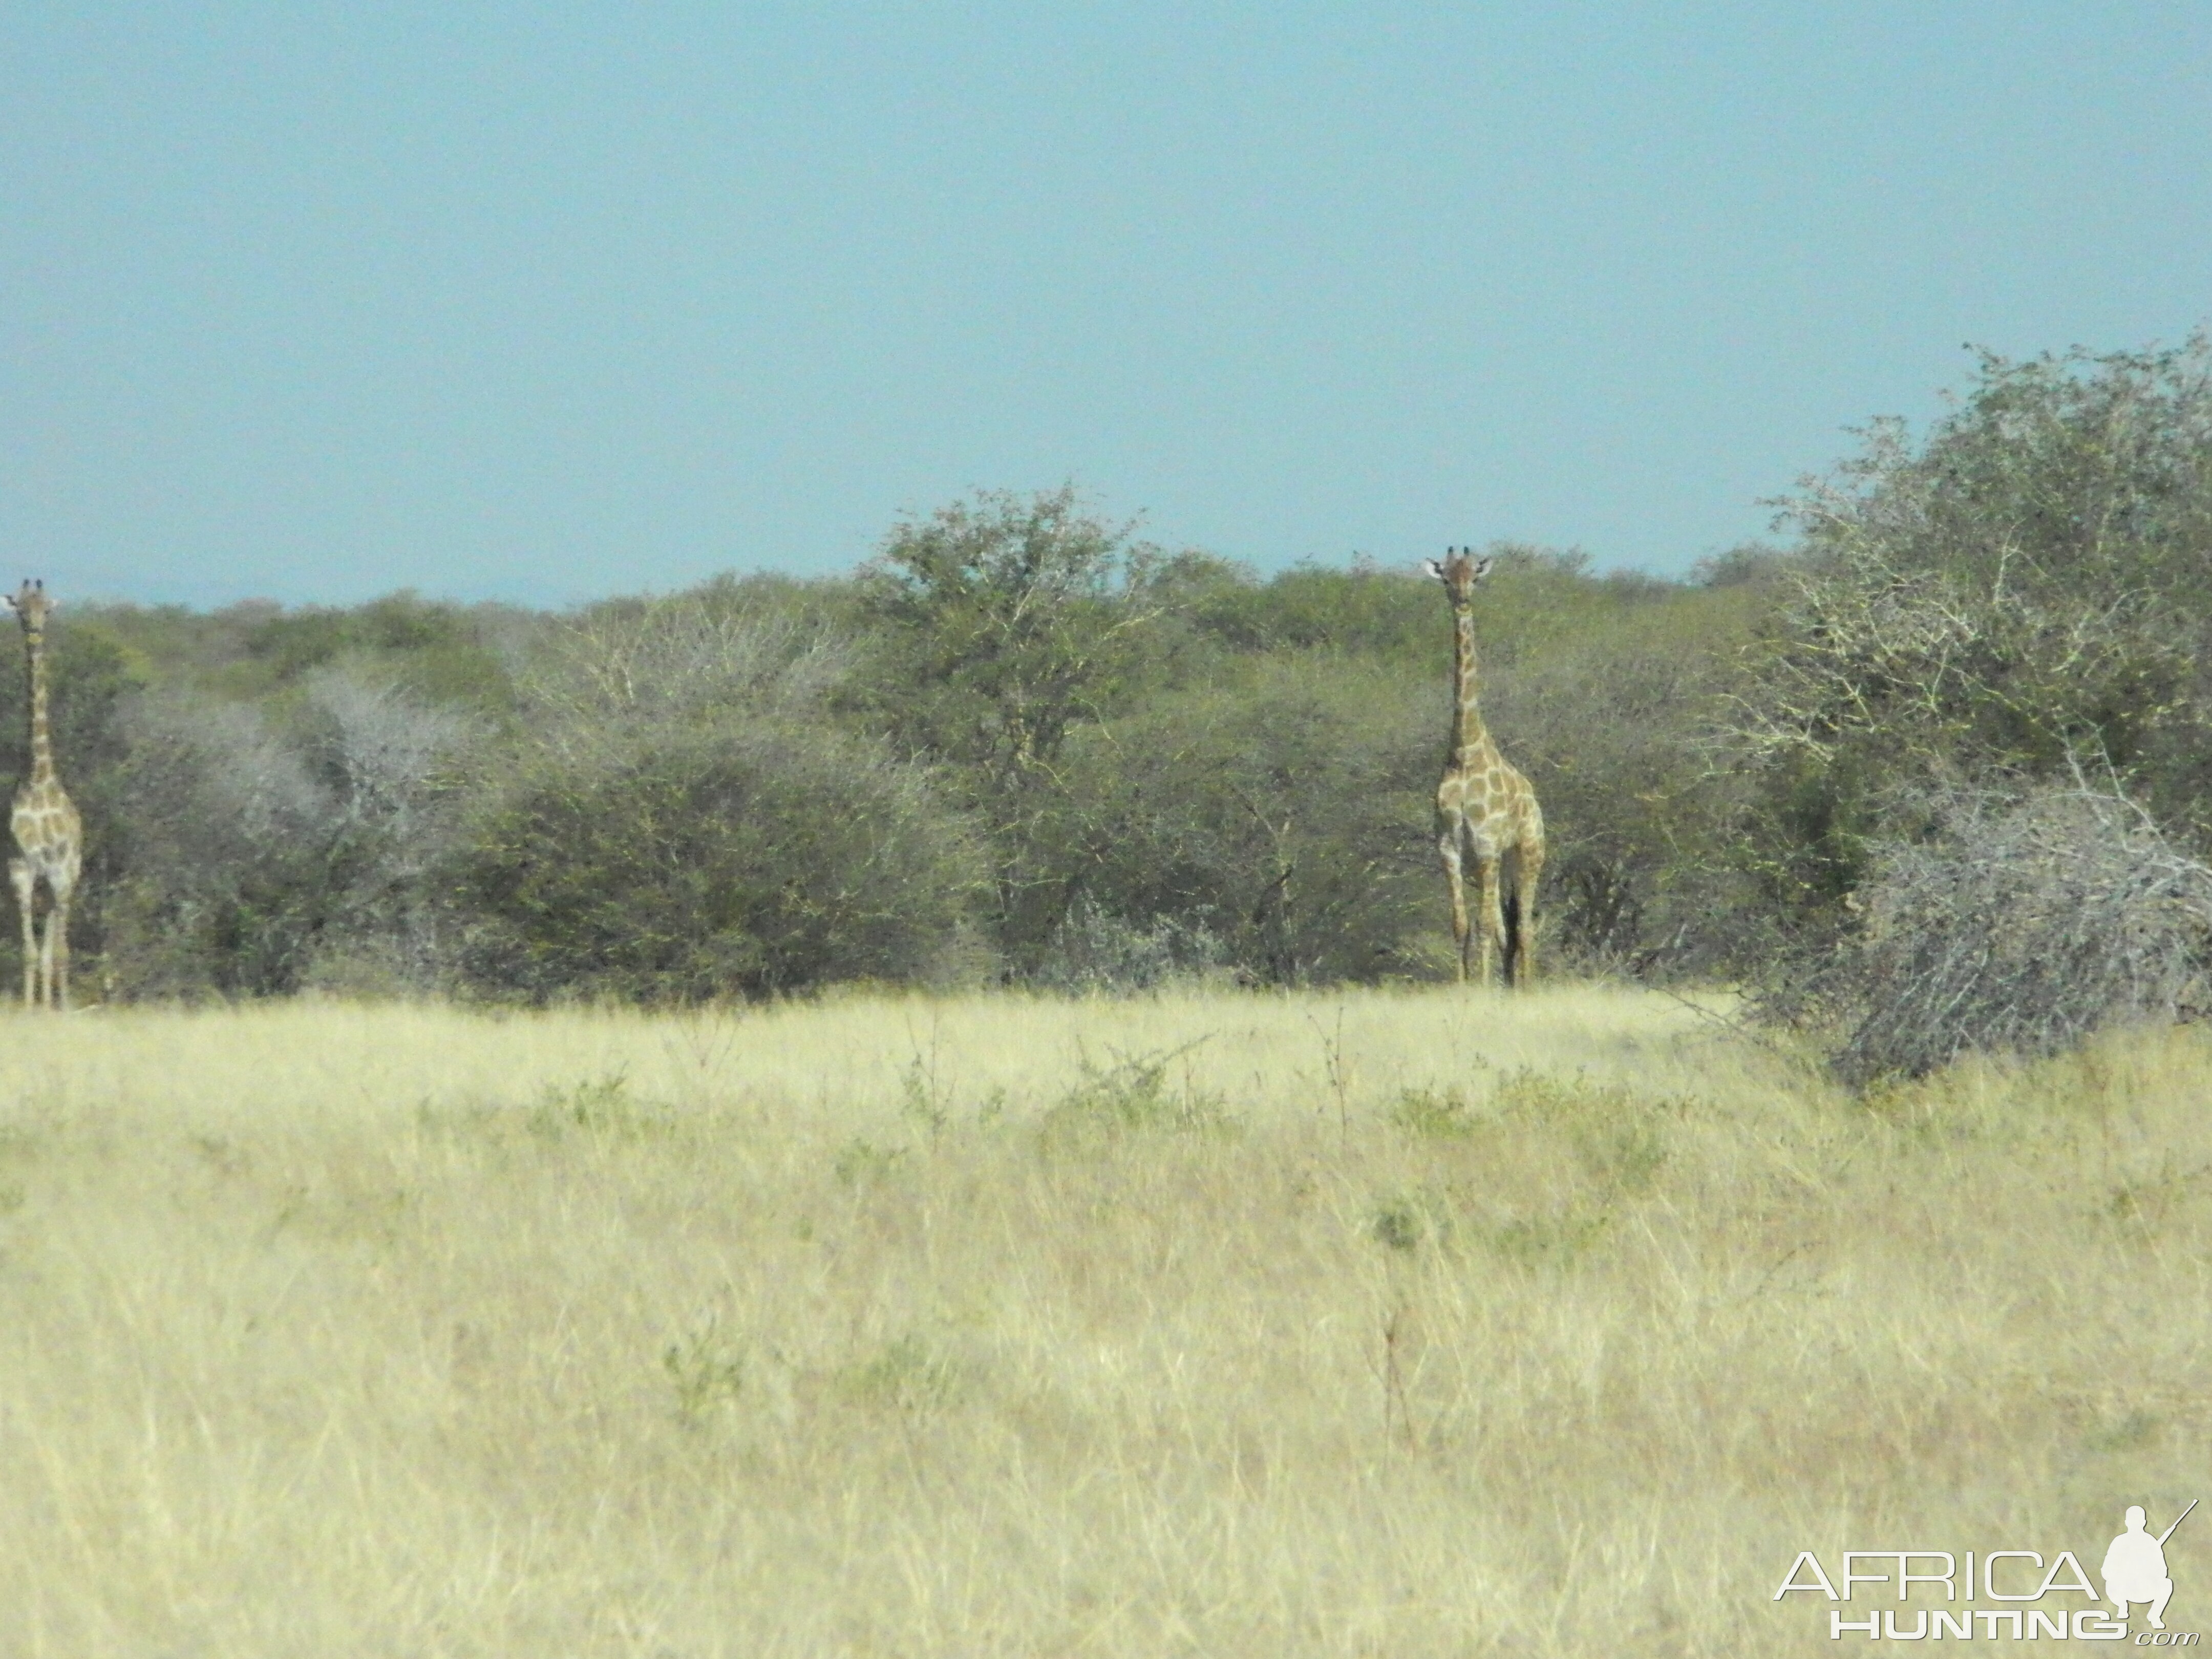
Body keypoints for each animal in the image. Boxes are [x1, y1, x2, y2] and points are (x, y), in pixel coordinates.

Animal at [1424, 548, 1548, 986]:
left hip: (1528, 853)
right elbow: (1462, 925)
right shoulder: (1450, 847)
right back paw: (1511, 986)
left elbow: (1482, 926)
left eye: (1474, 578)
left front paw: (1481, 990)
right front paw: (1465, 989)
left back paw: (1526, 990)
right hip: (1494, 864)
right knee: (1505, 928)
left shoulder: (1486, 843)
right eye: (1446, 579)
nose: (1462, 601)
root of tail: (1534, 800)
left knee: (1524, 927)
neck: (1464, 753)